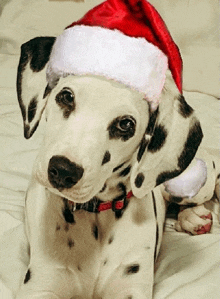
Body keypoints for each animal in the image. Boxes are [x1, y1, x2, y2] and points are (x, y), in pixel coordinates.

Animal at [14, 35, 217, 299]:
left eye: (125, 124)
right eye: (67, 96)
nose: (63, 171)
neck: (95, 215)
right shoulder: (41, 283)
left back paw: (193, 216)